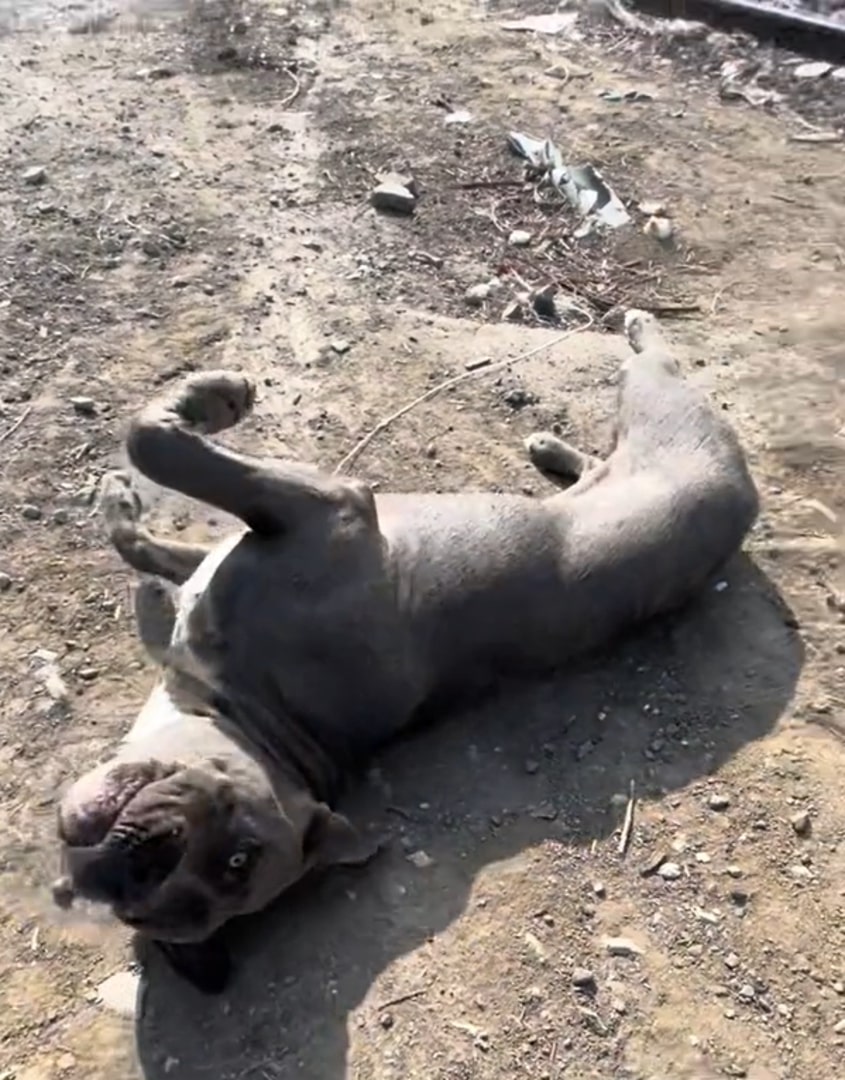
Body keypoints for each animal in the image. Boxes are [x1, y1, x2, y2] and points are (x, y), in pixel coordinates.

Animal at [56, 308, 765, 989]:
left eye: (238, 855)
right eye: (145, 912)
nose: (141, 866)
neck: (261, 713)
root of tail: (747, 507)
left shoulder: (327, 507)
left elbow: (155, 444)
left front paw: (216, 397)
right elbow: (145, 537)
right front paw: (127, 507)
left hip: (658, 403)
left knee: (655, 361)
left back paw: (637, 326)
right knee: (602, 452)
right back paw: (553, 447)